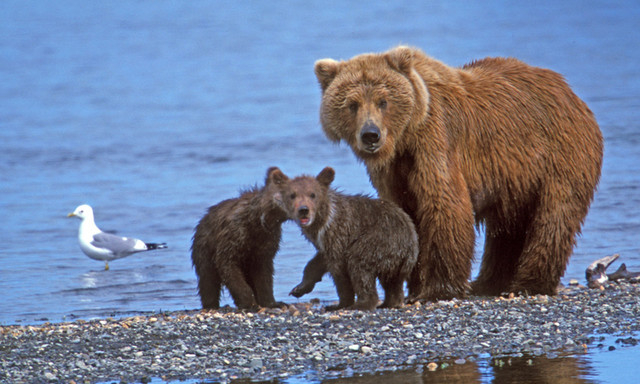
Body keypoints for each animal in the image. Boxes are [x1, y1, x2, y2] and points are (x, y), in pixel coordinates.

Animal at [190, 166, 288, 310]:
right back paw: (211, 304)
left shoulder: (266, 242)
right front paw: (249, 302)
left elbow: (264, 274)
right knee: (208, 280)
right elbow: (227, 264)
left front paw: (272, 302)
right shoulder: (234, 234)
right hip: (204, 248)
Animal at [272, 166, 420, 310]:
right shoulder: (324, 242)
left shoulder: (338, 234)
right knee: (393, 281)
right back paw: (390, 302)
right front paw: (299, 288)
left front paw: (340, 303)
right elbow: (317, 262)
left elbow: (339, 271)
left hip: (378, 242)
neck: (322, 221)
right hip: (397, 262)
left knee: (359, 266)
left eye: (312, 194)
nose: (304, 210)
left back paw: (362, 303)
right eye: (292, 195)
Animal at [316, 46, 604, 302]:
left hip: (560, 154)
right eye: (352, 104)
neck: (404, 139)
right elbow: (404, 213)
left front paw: (437, 290)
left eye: (383, 101)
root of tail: (571, 92)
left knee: (554, 217)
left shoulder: (436, 140)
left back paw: (529, 283)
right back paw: (489, 282)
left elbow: (444, 204)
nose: (370, 135)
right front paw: (413, 285)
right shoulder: (392, 171)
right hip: (515, 179)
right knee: (508, 228)